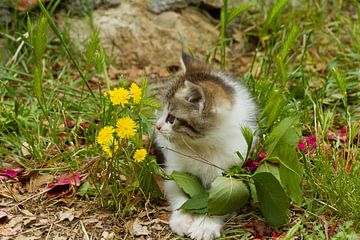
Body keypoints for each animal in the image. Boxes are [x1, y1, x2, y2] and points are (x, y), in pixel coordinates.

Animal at [155, 53, 258, 240]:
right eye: (163, 111)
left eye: (171, 118)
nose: (157, 126)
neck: (202, 146)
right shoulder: (175, 169)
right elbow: (176, 190)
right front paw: (182, 219)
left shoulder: (230, 172)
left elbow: (222, 201)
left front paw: (205, 226)